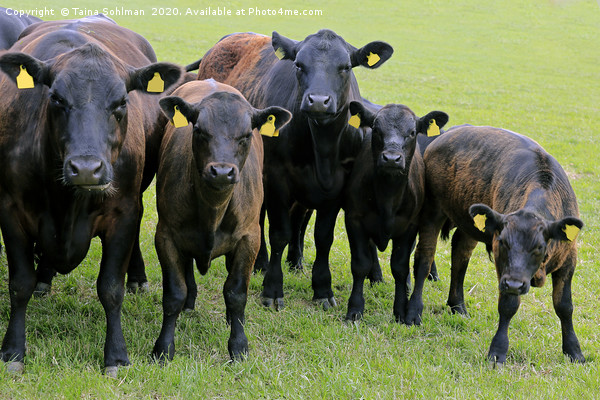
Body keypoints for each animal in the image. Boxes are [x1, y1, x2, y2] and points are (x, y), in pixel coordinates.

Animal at [0, 18, 180, 376]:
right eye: (56, 98)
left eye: (122, 102)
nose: (86, 168)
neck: (67, 205)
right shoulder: (10, 211)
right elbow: (20, 284)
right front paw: (13, 351)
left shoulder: (124, 212)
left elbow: (110, 287)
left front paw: (116, 355)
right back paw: (45, 279)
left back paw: (137, 278)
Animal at [196, 30, 394, 310]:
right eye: (299, 65)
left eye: (345, 67)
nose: (319, 101)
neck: (322, 150)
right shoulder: (277, 178)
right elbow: (280, 233)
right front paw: (272, 289)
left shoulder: (336, 188)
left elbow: (323, 237)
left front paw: (322, 288)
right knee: (260, 219)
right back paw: (260, 262)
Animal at [342, 102, 446, 322]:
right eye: (376, 129)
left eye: (412, 132)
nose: (391, 158)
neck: (388, 198)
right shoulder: (354, 220)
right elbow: (360, 264)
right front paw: (355, 308)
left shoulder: (410, 226)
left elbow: (400, 267)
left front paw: (400, 309)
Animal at [414, 125, 584, 366]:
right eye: (503, 242)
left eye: (539, 247)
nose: (514, 284)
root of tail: (447, 132)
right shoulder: (504, 268)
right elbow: (508, 305)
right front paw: (498, 350)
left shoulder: (569, 259)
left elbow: (564, 305)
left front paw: (573, 351)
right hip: (431, 210)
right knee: (424, 258)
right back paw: (412, 313)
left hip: (470, 223)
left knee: (460, 255)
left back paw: (458, 306)